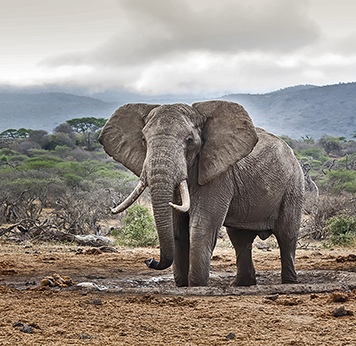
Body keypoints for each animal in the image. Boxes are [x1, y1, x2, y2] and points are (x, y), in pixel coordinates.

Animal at [98, 100, 304, 286]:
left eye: (190, 141)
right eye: (143, 140)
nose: (149, 260)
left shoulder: (218, 175)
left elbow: (201, 226)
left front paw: (197, 285)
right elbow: (178, 229)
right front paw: (183, 285)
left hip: (294, 185)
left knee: (286, 235)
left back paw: (289, 283)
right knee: (240, 239)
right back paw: (242, 284)